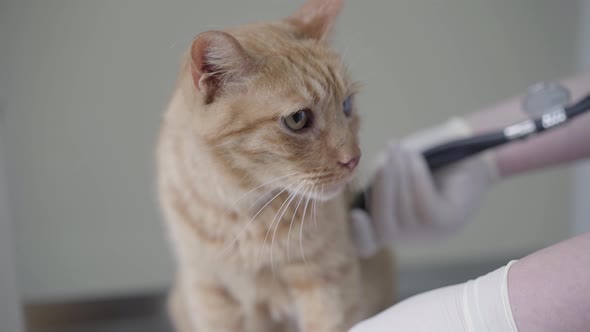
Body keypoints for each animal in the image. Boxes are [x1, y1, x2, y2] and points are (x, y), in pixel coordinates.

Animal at [158, 1, 398, 330]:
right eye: (297, 119)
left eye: (346, 105)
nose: (353, 159)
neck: (244, 215)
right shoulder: (211, 293)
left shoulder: (328, 280)